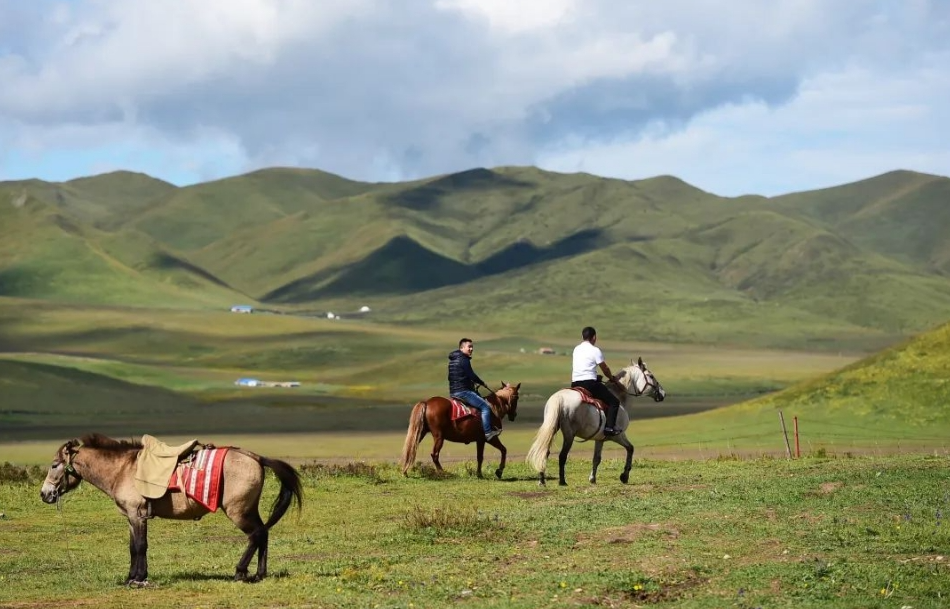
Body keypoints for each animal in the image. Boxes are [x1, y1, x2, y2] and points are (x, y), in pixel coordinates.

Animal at [39, 432, 302, 584]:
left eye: (54, 465)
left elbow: (140, 546)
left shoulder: (137, 514)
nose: (44, 494)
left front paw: (138, 579)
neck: (122, 469)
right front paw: (131, 577)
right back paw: (259, 574)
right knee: (263, 533)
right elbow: (133, 548)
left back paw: (239, 572)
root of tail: (256, 457)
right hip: (249, 509)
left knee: (256, 534)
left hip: (238, 511)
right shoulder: (131, 518)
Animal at [524, 358, 664, 486]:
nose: (662, 393)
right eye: (651, 376)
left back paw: (542, 480)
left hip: (553, 428)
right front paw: (624, 476)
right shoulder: (618, 435)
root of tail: (559, 397)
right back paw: (562, 481)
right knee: (562, 455)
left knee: (544, 452)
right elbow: (630, 448)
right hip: (569, 434)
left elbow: (596, 458)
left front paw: (592, 479)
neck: (619, 396)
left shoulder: (600, 439)